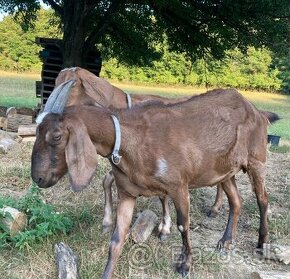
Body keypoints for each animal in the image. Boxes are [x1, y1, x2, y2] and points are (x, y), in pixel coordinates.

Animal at [31, 86, 270, 278]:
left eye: (56, 136)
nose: (38, 178)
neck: (130, 139)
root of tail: (256, 110)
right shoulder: (127, 193)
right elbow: (117, 239)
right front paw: (107, 272)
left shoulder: (179, 186)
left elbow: (183, 225)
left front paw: (185, 265)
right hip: (225, 171)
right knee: (236, 201)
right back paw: (225, 241)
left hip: (256, 160)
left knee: (262, 199)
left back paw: (262, 243)